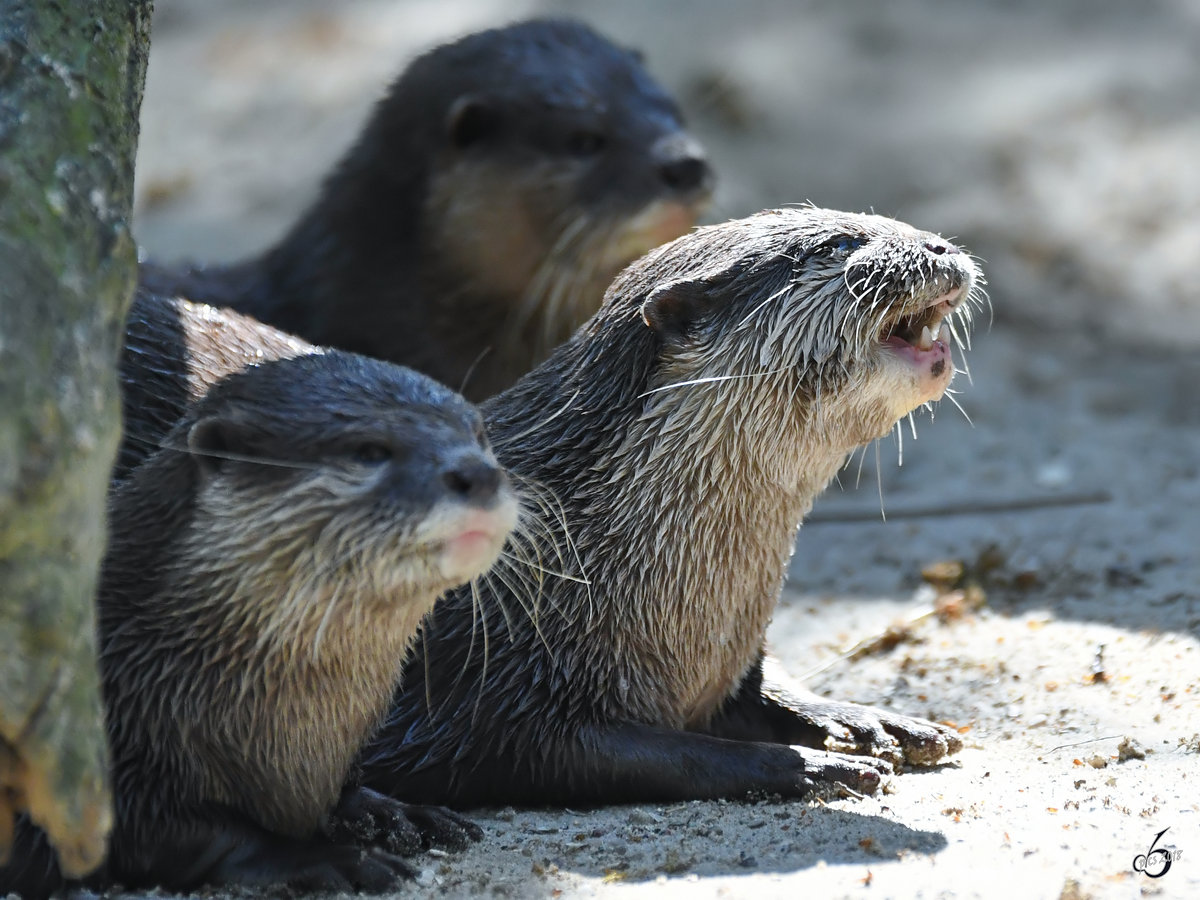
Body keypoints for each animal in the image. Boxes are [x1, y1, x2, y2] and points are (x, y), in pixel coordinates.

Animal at [4, 350, 520, 897]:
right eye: (369, 451)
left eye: (479, 433)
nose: (477, 472)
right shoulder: (110, 767)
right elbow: (183, 835)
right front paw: (329, 858)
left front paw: (395, 811)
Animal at [360, 207, 979, 806]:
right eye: (839, 244)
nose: (939, 245)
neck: (575, 549)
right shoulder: (487, 686)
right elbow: (655, 754)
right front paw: (813, 766)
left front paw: (864, 718)